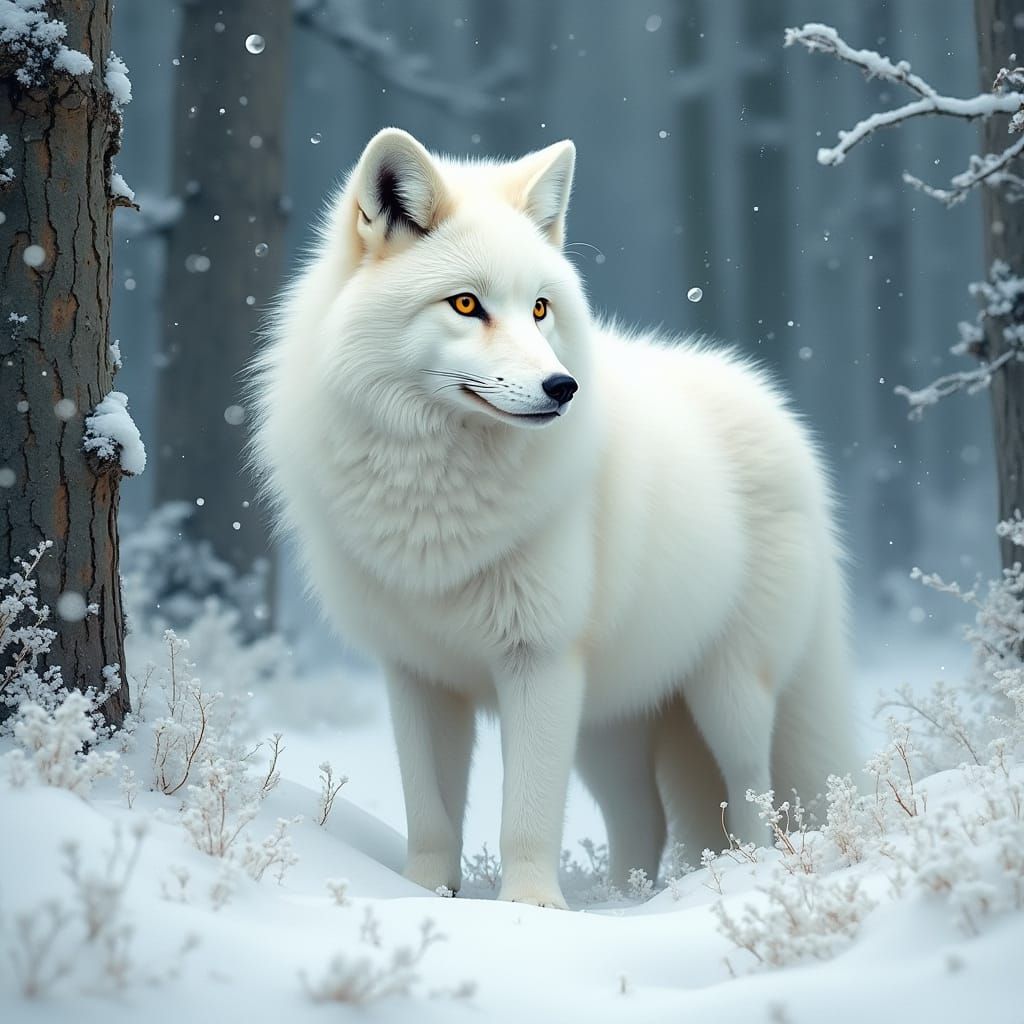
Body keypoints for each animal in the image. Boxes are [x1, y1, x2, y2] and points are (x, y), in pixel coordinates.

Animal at [250, 127, 858, 909]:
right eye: (467, 304)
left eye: (540, 309)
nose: (561, 386)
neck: (435, 495)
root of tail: (776, 409)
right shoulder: (415, 674)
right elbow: (430, 816)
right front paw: (424, 897)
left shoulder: (538, 659)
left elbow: (526, 816)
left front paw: (531, 909)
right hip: (609, 725)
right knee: (647, 823)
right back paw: (625, 901)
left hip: (728, 696)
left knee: (753, 798)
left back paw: (738, 881)